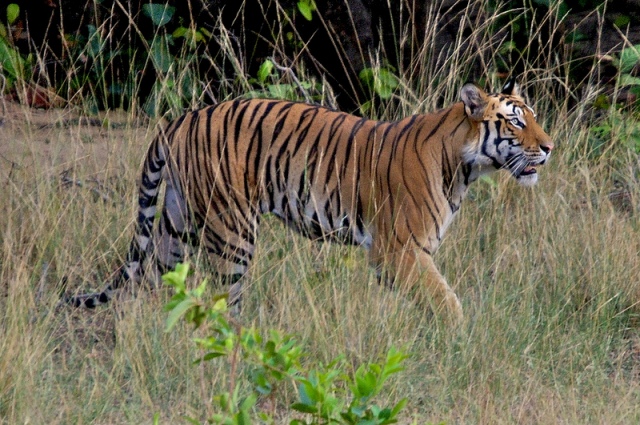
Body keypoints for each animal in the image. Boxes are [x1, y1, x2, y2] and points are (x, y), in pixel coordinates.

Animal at [66, 79, 556, 322]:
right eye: (516, 122)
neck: (466, 165)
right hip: (232, 233)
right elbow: (447, 302)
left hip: (176, 225)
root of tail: (181, 118)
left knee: (155, 286)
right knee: (224, 302)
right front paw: (457, 341)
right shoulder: (398, 251)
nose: (550, 147)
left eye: (533, 118)